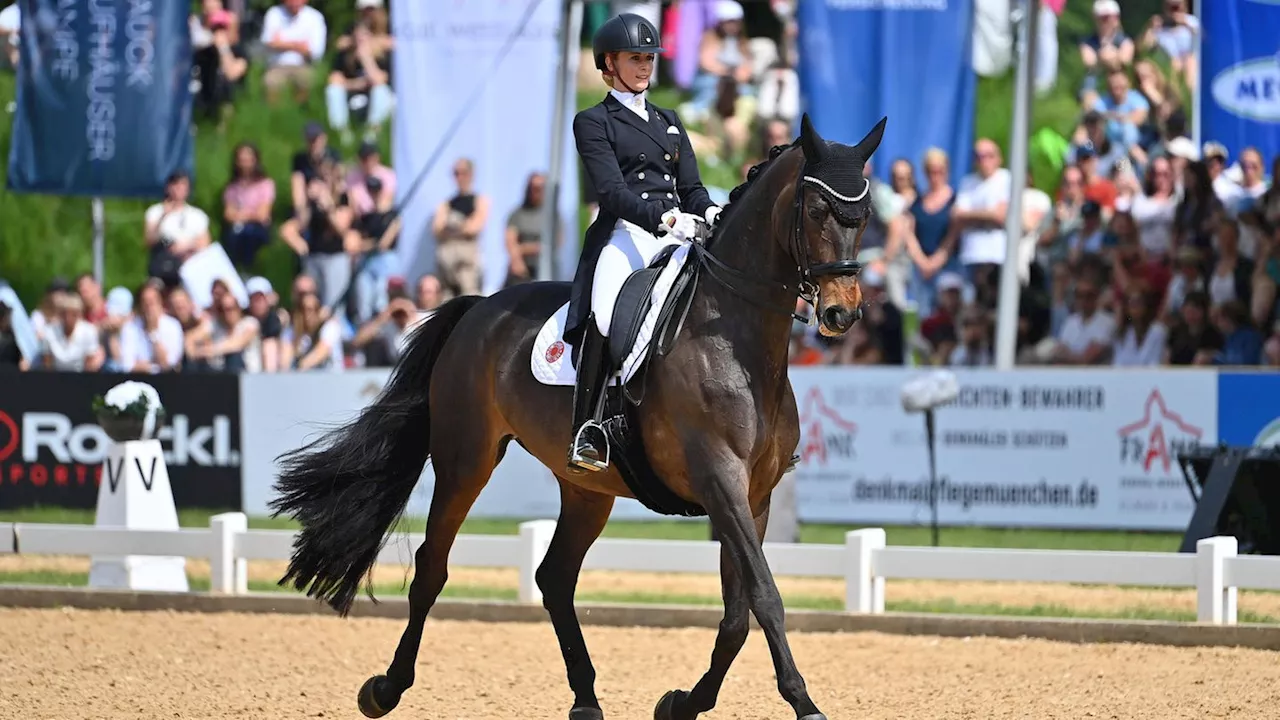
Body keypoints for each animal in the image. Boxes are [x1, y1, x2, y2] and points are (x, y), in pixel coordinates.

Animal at [272, 113, 880, 717]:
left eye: (866, 214)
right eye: (818, 209)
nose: (841, 313)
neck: (735, 338)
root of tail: (479, 306)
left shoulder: (753, 496)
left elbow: (738, 613)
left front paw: (682, 703)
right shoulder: (719, 481)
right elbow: (765, 597)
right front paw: (805, 703)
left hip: (587, 489)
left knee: (555, 577)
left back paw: (586, 698)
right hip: (465, 460)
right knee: (432, 568)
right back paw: (386, 687)